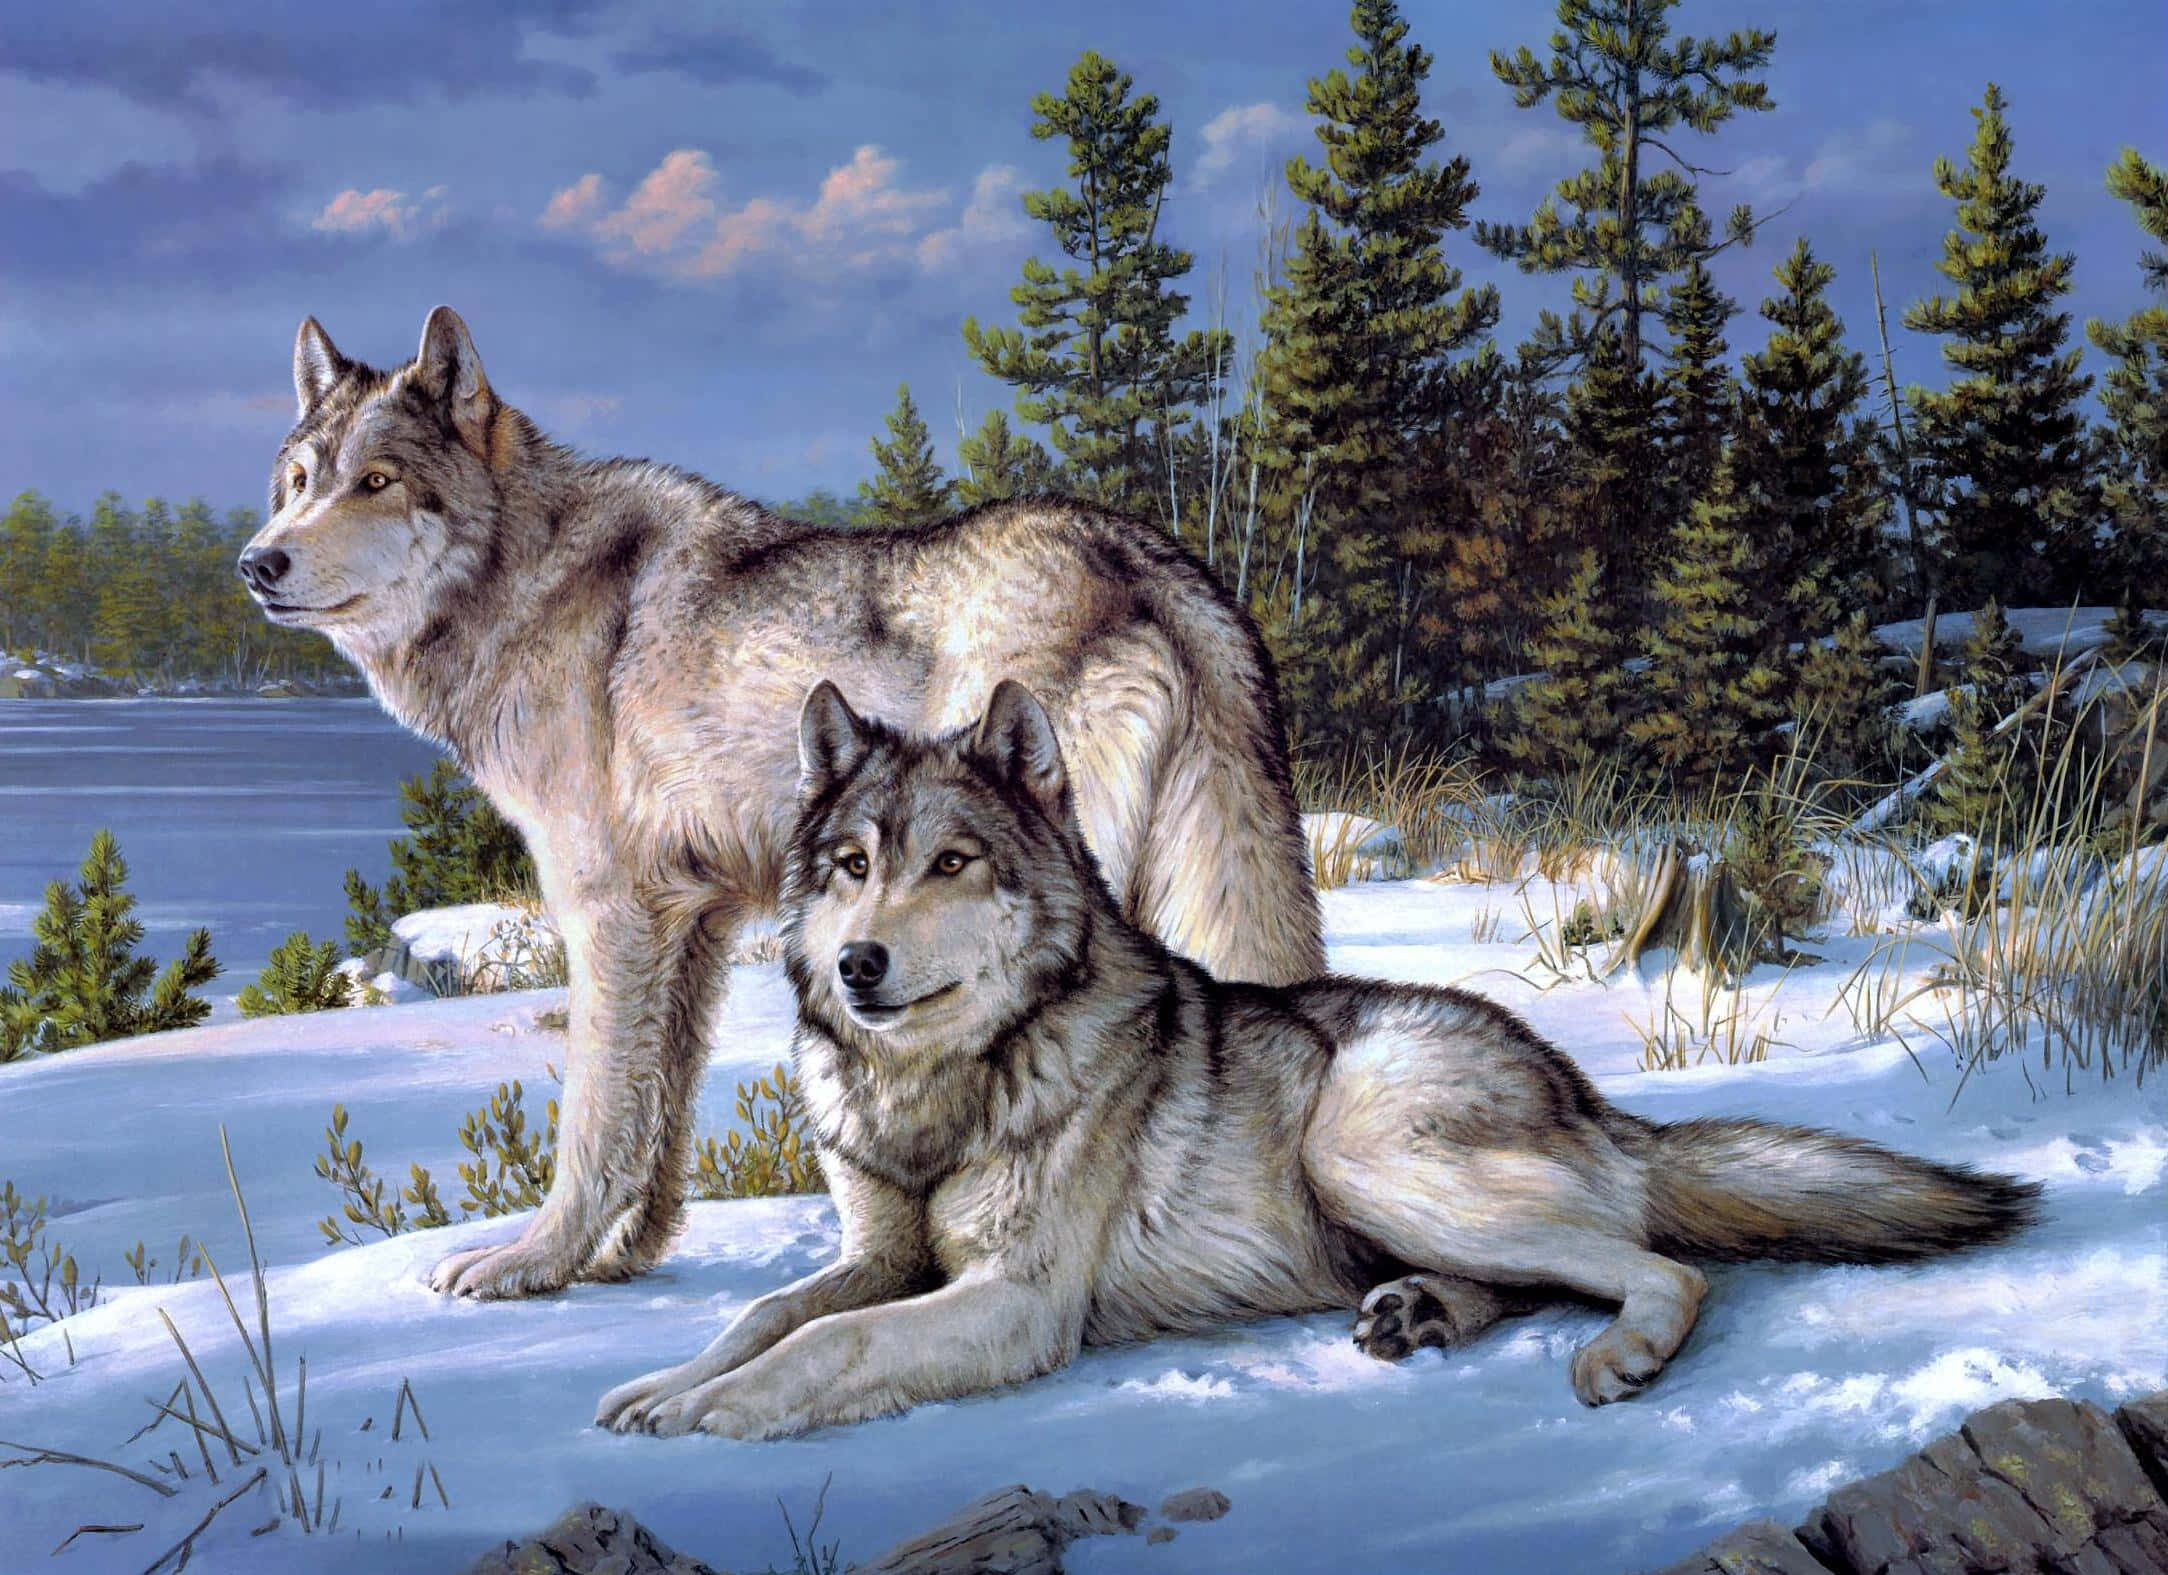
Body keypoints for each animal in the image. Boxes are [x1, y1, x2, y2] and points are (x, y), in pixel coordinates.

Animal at [237, 307, 1324, 1313]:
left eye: (377, 482)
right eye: (296, 482)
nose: (258, 563)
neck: (524, 580)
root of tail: (1151, 559)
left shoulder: (607, 915)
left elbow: (593, 1119)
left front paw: (532, 1264)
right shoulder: (693, 922)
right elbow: (660, 1114)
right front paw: (625, 1256)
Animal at [595, 681, 2039, 1438]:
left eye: (950, 862)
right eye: (850, 866)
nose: (858, 965)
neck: (940, 1091)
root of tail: (1586, 1093)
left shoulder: (1013, 1300)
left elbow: (827, 1347)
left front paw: (710, 1410)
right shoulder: (879, 1255)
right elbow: (762, 1315)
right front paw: (660, 1381)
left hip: (1359, 1150)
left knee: (1663, 1267)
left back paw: (1612, 1355)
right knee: (1548, 1270)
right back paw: (1421, 1314)